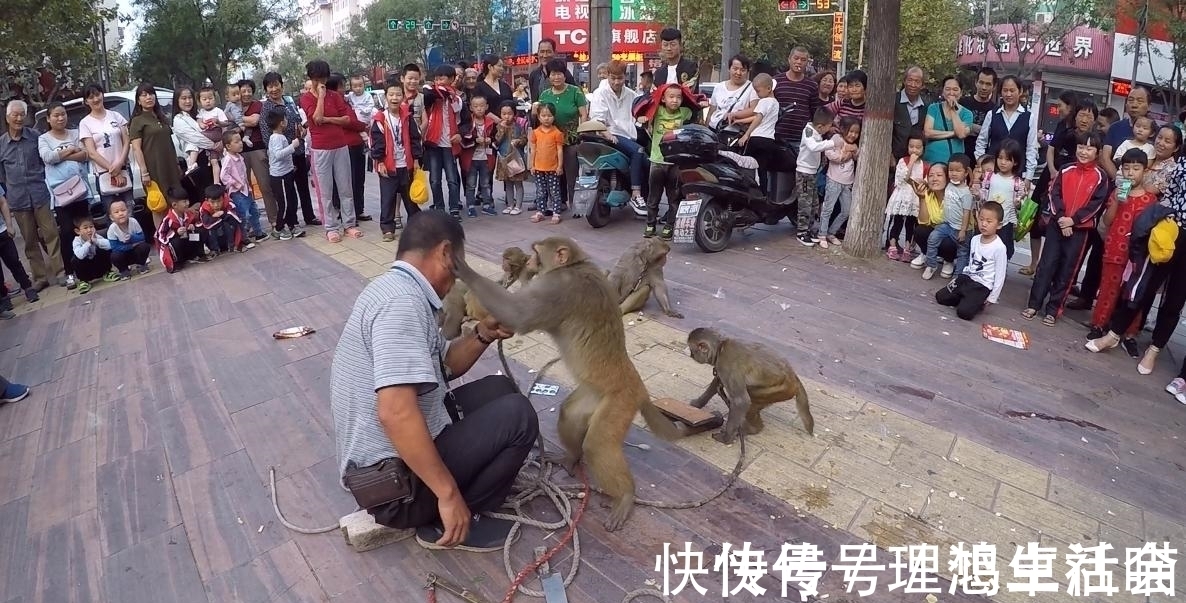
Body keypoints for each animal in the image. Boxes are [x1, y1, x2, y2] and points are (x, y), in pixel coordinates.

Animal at [448, 235, 683, 531]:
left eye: (537, 253)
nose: (530, 261)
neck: (574, 265)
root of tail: (638, 385)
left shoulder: (559, 287)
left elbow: (521, 315)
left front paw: (463, 269)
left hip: (620, 401)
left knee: (597, 445)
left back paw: (625, 496)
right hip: (596, 394)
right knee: (570, 414)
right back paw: (570, 459)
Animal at [687, 327, 815, 446]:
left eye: (692, 350)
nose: (691, 355)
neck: (720, 347)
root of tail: (794, 377)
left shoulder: (725, 364)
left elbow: (741, 401)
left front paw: (726, 438)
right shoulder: (720, 367)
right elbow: (716, 382)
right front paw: (697, 404)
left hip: (781, 390)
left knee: (751, 397)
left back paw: (753, 429)